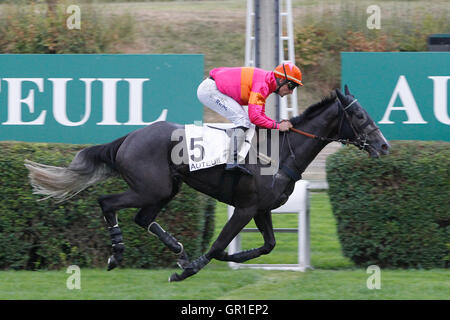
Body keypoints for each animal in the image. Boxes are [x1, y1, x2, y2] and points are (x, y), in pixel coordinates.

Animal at [25, 85, 390, 282]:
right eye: (359, 116)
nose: (384, 146)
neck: (281, 152)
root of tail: (128, 137)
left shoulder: (261, 209)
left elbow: (268, 245)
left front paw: (224, 259)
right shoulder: (245, 208)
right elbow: (217, 244)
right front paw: (191, 269)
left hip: (166, 189)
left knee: (143, 218)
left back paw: (178, 251)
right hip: (150, 188)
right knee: (107, 203)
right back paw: (118, 254)